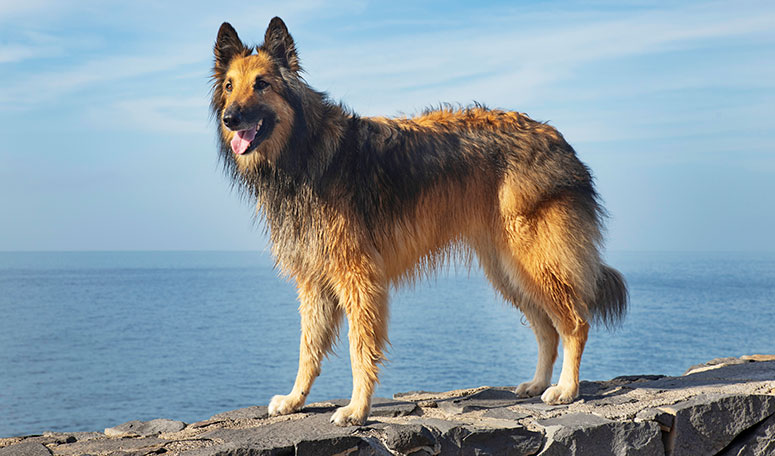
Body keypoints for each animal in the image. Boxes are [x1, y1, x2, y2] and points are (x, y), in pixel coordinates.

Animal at [209, 16, 628, 426]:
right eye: (229, 86)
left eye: (261, 84)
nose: (230, 119)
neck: (305, 150)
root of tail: (558, 138)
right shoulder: (314, 282)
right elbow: (308, 349)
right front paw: (295, 399)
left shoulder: (358, 277)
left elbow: (360, 349)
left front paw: (357, 409)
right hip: (509, 269)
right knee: (546, 330)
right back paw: (538, 383)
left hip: (537, 260)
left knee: (575, 323)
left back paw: (566, 388)